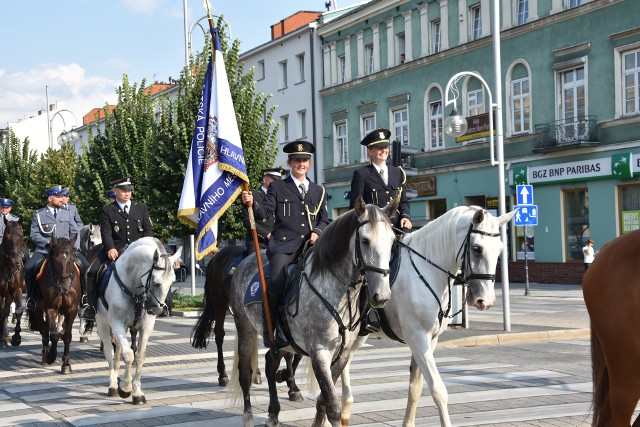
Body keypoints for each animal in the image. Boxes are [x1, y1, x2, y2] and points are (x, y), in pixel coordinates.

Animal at [27, 236, 81, 372]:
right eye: (55, 260)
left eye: (72, 259)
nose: (64, 287)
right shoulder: (51, 308)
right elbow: (54, 335)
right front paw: (51, 356)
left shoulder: (72, 309)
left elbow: (67, 336)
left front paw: (66, 364)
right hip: (37, 309)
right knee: (44, 330)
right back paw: (45, 355)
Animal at [340, 206, 516, 426]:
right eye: (477, 248)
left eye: (500, 249)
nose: (486, 300)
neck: (427, 271)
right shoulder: (417, 337)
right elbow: (438, 389)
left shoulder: (430, 339)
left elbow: (415, 386)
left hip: (358, 335)